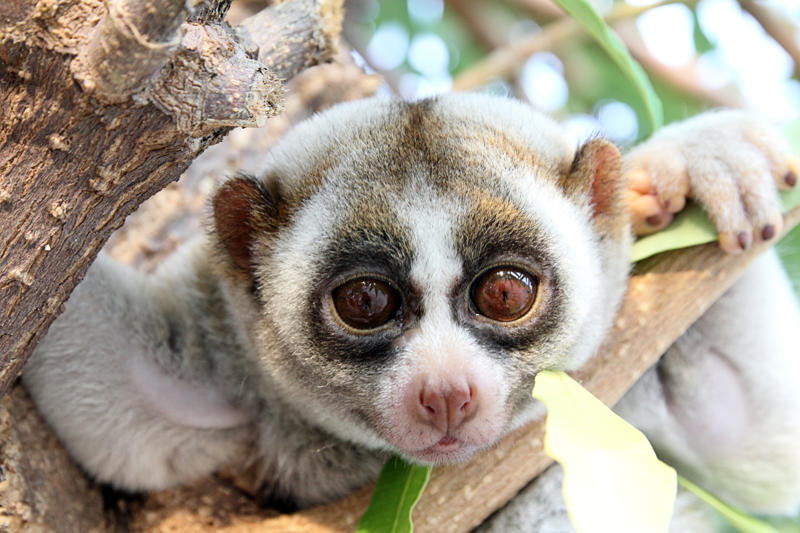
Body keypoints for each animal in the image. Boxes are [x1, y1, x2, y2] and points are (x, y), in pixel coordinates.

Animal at [21, 93, 800, 529]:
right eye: (365, 302)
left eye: (504, 293)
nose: (446, 392)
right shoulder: (218, 328)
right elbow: (120, 399)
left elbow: (751, 440)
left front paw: (702, 161)